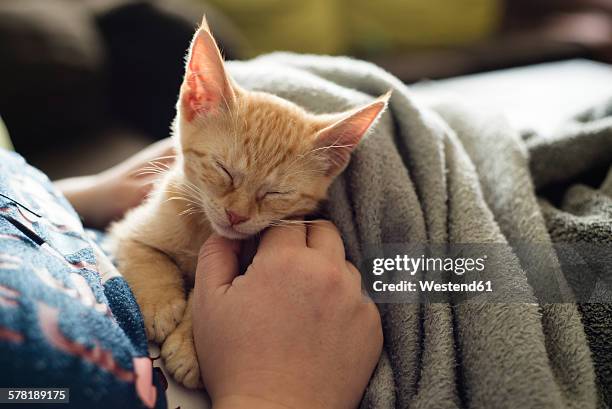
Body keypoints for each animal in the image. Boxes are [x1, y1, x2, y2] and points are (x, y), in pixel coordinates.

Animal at [108, 15, 390, 386]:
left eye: (276, 193)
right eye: (223, 170)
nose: (236, 216)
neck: (202, 232)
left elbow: (204, 296)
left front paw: (191, 345)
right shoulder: (128, 229)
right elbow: (148, 257)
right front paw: (159, 305)